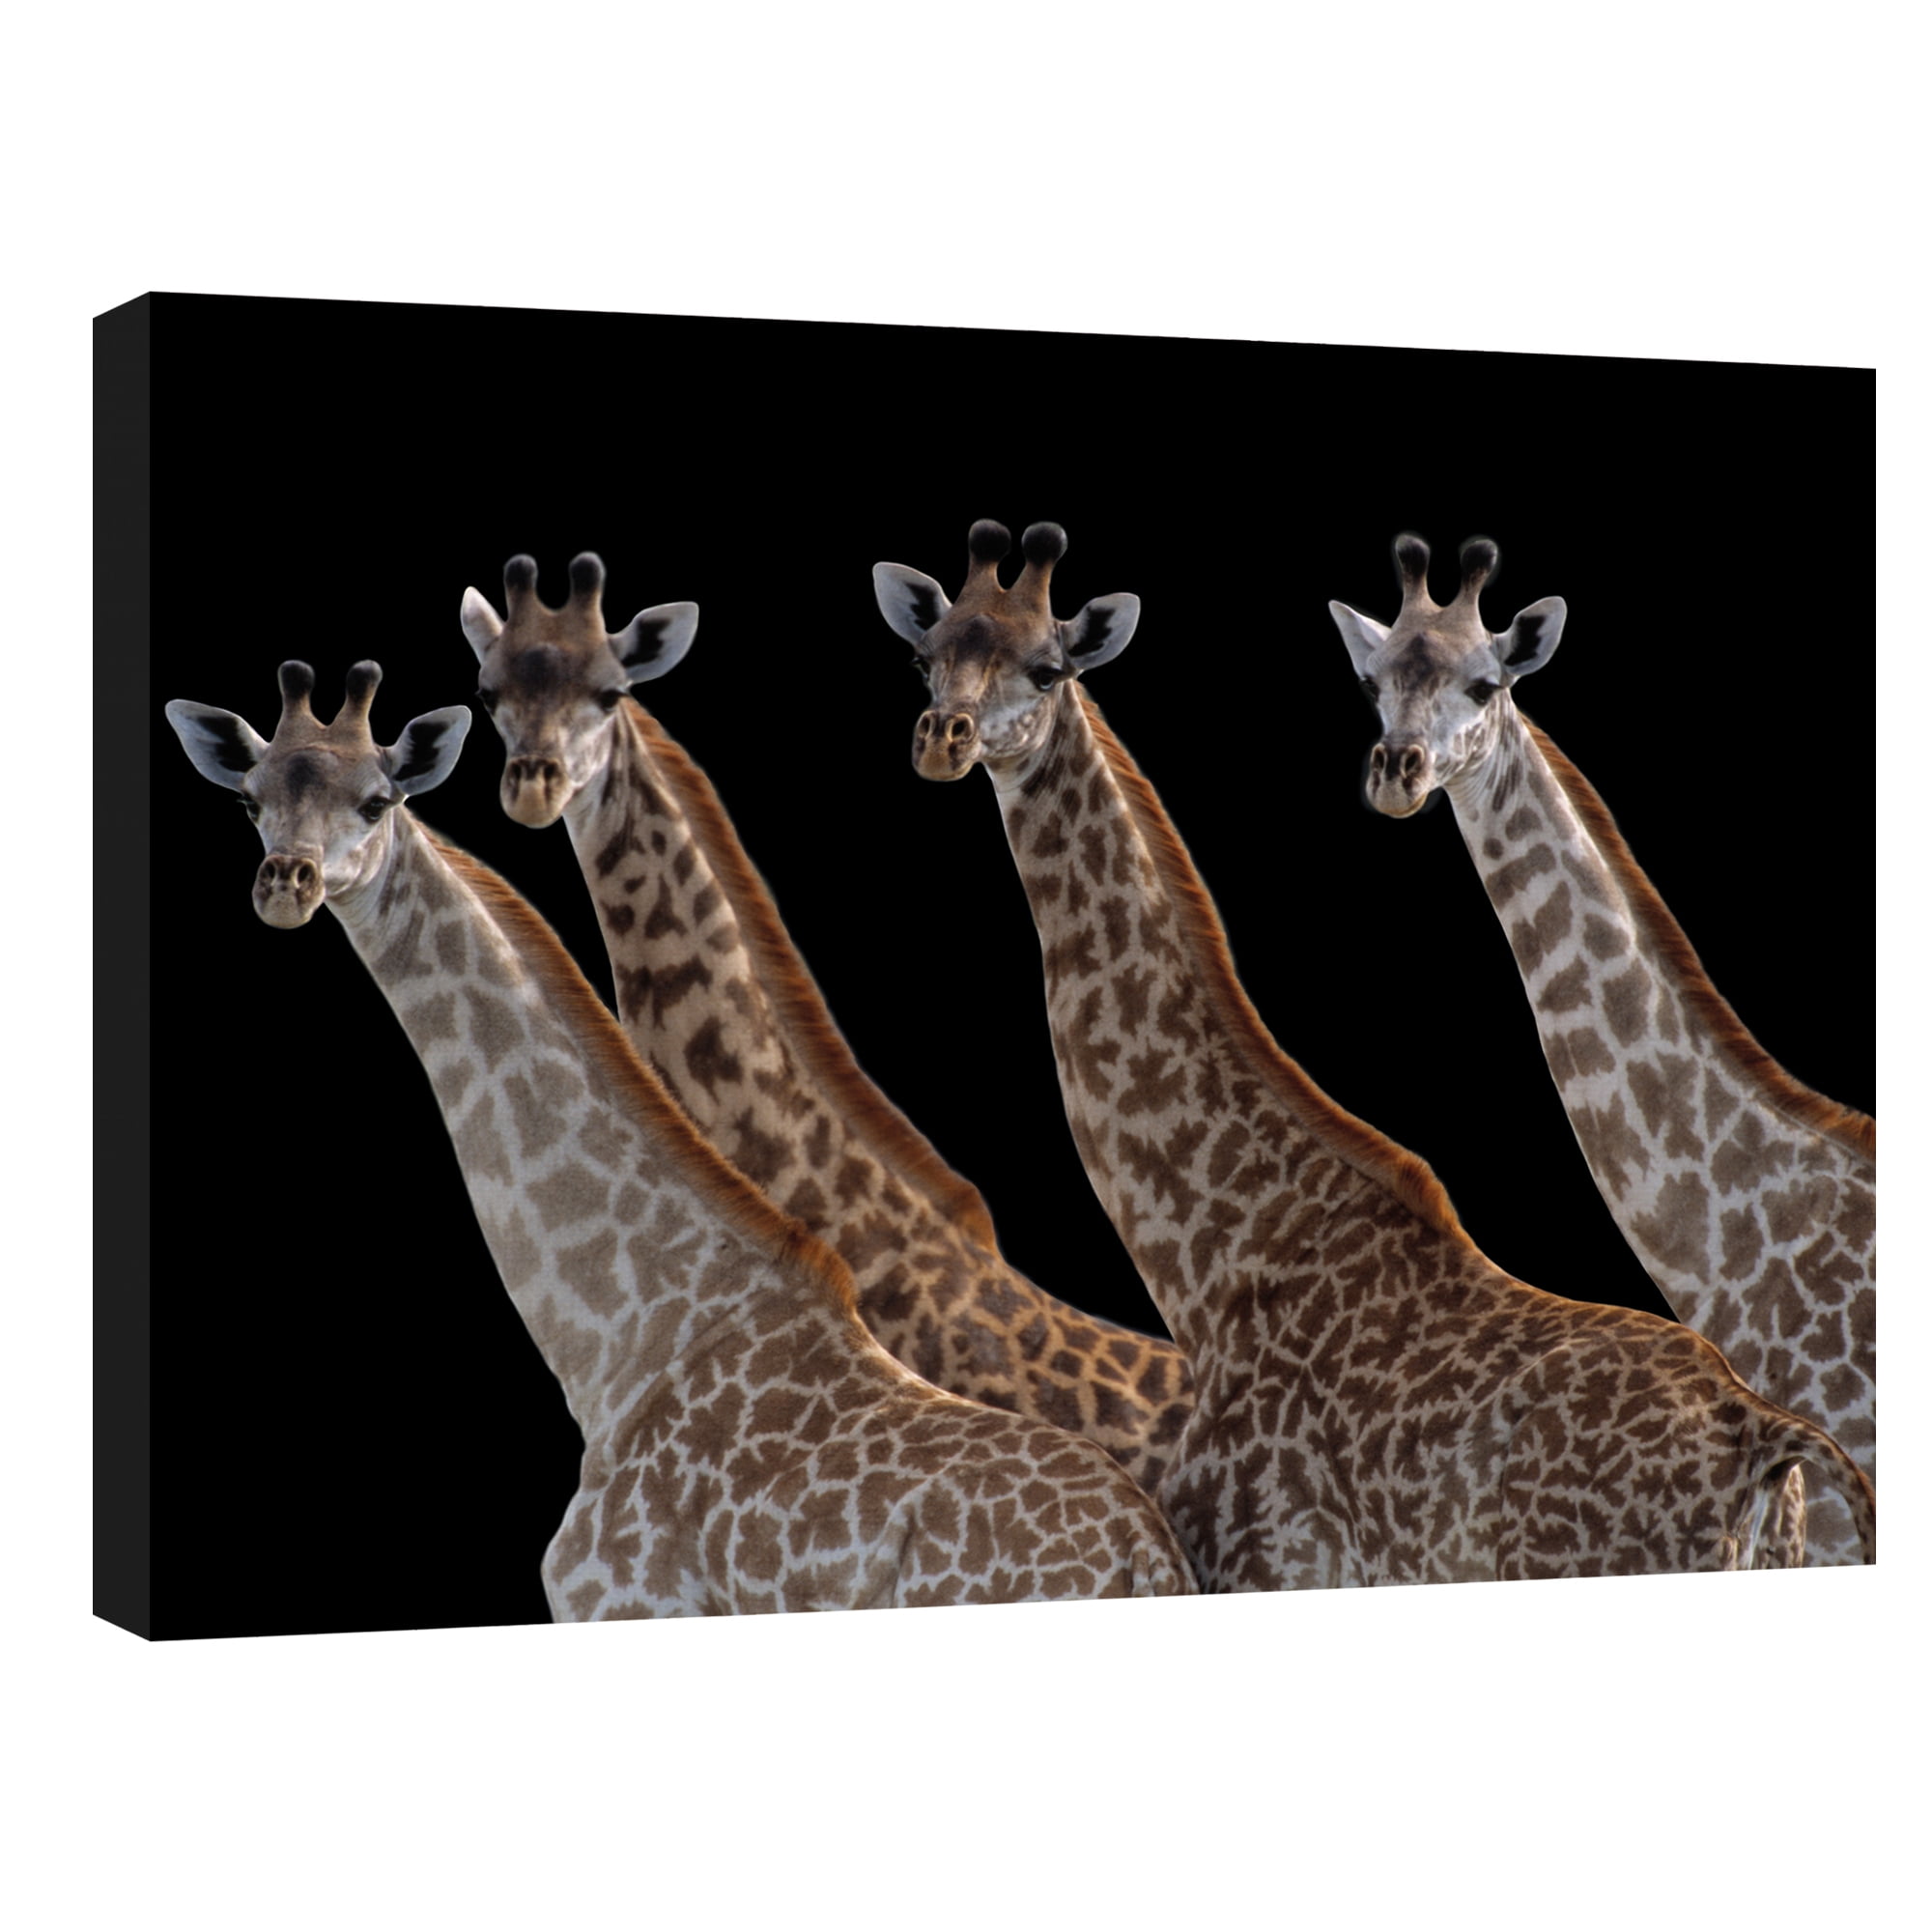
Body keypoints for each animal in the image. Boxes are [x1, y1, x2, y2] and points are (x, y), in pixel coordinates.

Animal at [163, 658, 1197, 1615]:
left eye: (376, 800)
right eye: (251, 797)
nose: (286, 882)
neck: (625, 1338)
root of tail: (1146, 1562)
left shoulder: (622, 1604)